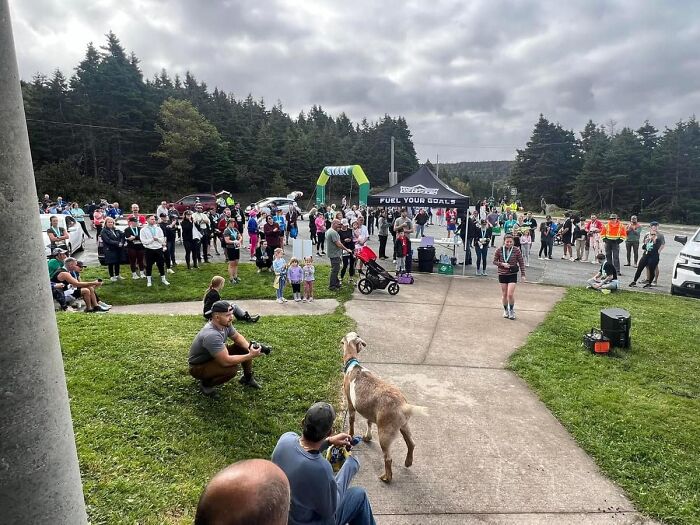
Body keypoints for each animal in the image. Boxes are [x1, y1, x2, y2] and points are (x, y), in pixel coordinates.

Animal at [340, 330, 426, 482]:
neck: (353, 365)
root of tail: (403, 405)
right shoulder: (370, 411)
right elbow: (369, 422)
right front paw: (367, 437)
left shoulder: (351, 404)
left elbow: (351, 422)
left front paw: (350, 435)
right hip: (404, 426)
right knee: (411, 443)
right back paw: (408, 462)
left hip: (385, 434)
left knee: (388, 458)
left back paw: (386, 477)